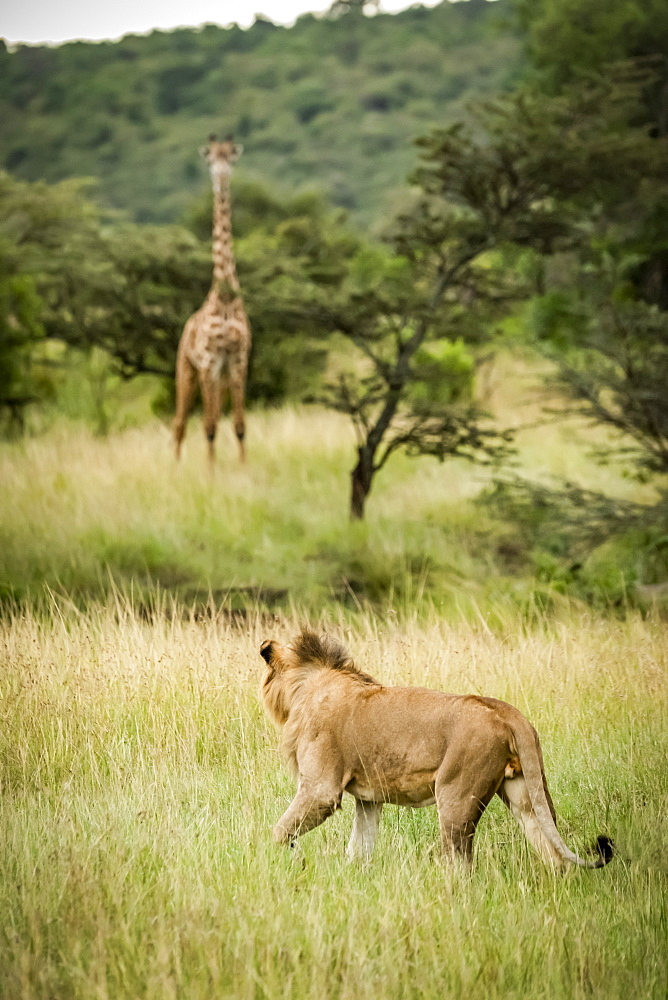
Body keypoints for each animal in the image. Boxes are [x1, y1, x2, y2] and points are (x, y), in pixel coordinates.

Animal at [258, 628, 612, 872]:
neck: (307, 687)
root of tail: (507, 711)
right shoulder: (369, 798)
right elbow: (359, 847)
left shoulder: (321, 789)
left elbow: (279, 831)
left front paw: (283, 861)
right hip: (524, 793)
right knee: (553, 853)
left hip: (456, 796)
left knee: (460, 864)